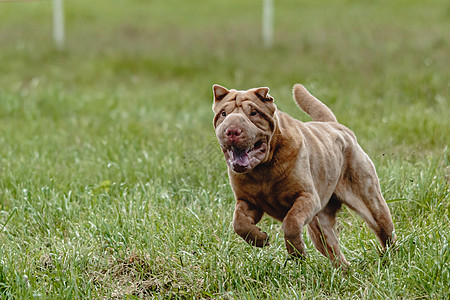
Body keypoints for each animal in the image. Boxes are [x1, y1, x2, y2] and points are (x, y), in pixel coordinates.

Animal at [211, 83, 394, 268]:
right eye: (223, 114)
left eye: (254, 113)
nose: (232, 131)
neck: (263, 169)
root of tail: (332, 124)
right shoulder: (247, 202)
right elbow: (239, 223)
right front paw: (260, 239)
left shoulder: (307, 196)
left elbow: (291, 223)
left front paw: (297, 252)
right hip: (320, 226)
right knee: (334, 251)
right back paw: (345, 271)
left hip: (371, 202)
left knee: (385, 232)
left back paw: (392, 259)